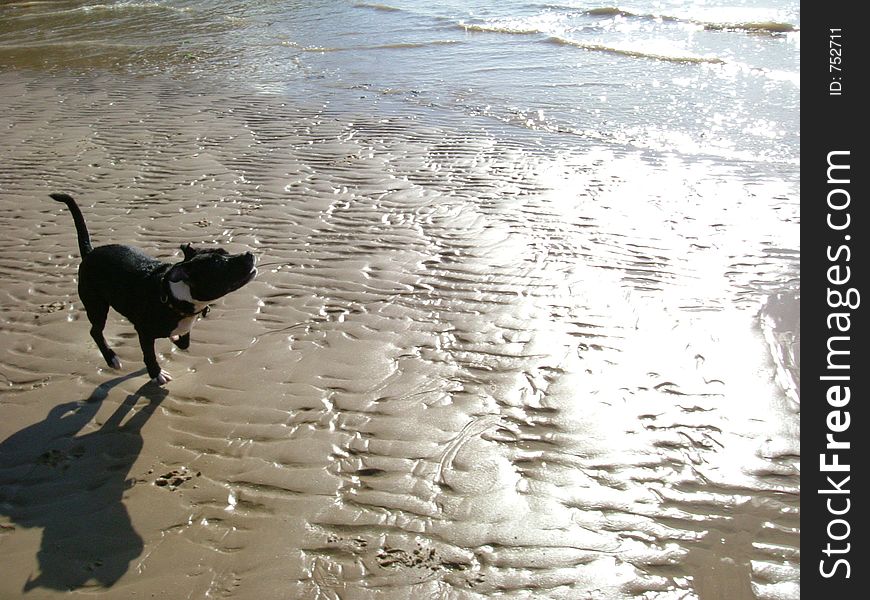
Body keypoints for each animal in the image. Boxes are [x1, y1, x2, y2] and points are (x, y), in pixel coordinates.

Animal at [51, 195, 258, 386]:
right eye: (218, 264)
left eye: (225, 252)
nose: (249, 253)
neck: (174, 296)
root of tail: (89, 253)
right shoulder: (144, 332)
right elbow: (149, 354)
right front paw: (156, 373)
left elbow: (184, 342)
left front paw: (174, 338)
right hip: (96, 304)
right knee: (95, 331)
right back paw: (112, 359)